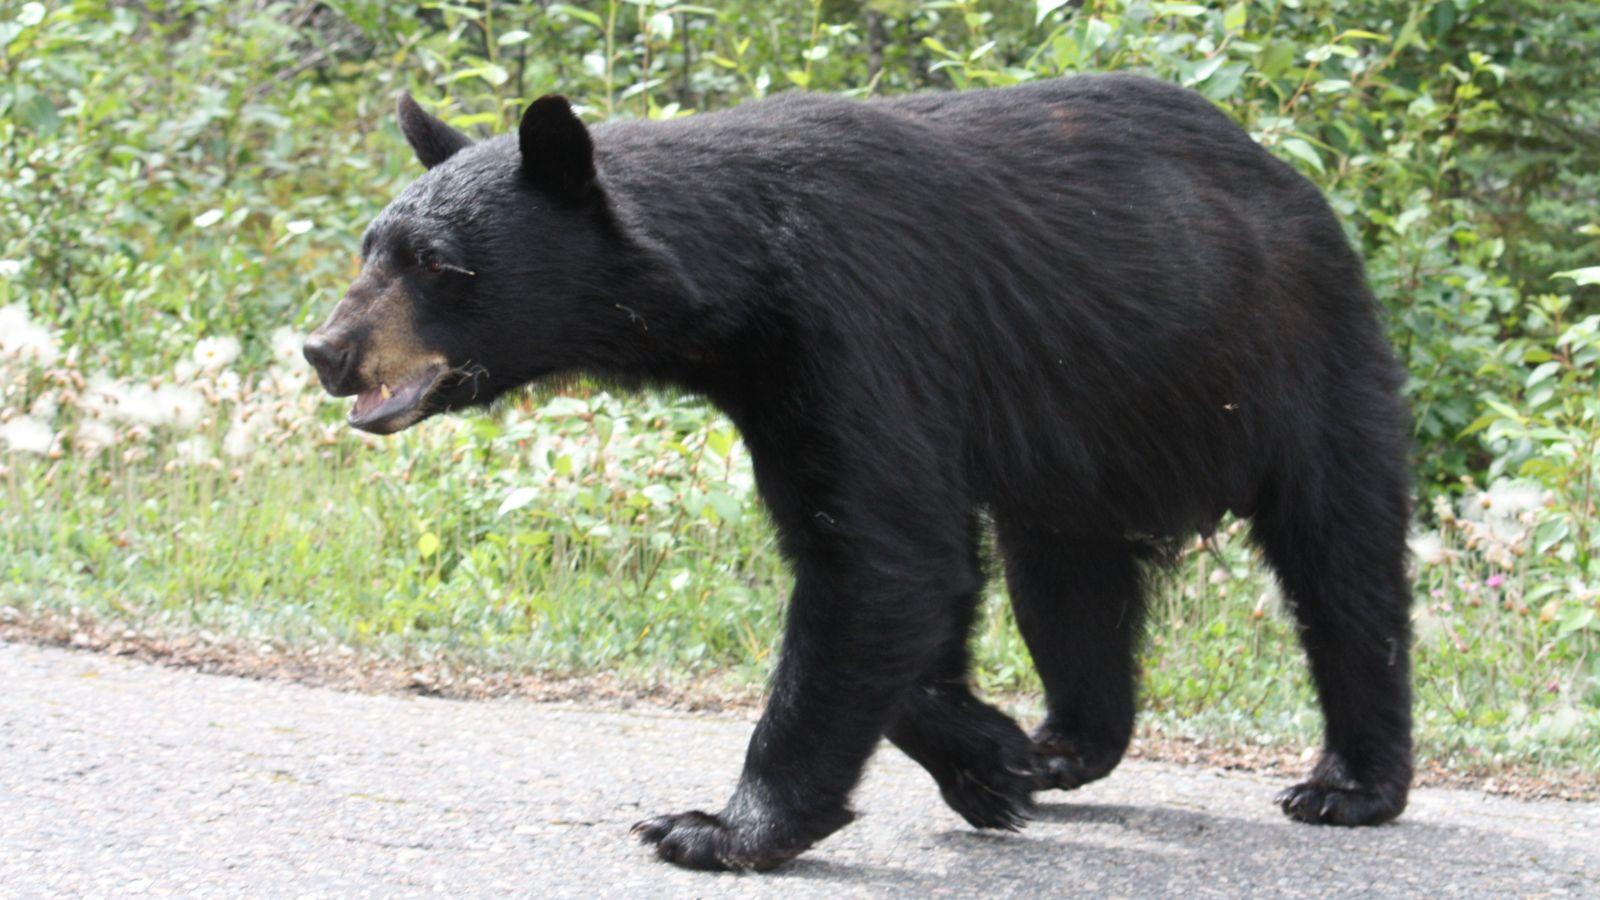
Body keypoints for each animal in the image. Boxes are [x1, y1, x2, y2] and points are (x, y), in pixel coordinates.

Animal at [303, 74, 1414, 872]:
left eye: (436, 263)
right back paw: (1065, 744)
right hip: (1076, 455)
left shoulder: (858, 331)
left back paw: (1348, 784)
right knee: (1065, 585)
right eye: (369, 247)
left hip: (1300, 368)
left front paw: (714, 828)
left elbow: (881, 558)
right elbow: (901, 565)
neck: (741, 285)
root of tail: (1297, 183)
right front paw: (989, 757)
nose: (326, 351)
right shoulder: (782, 385)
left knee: (1343, 566)